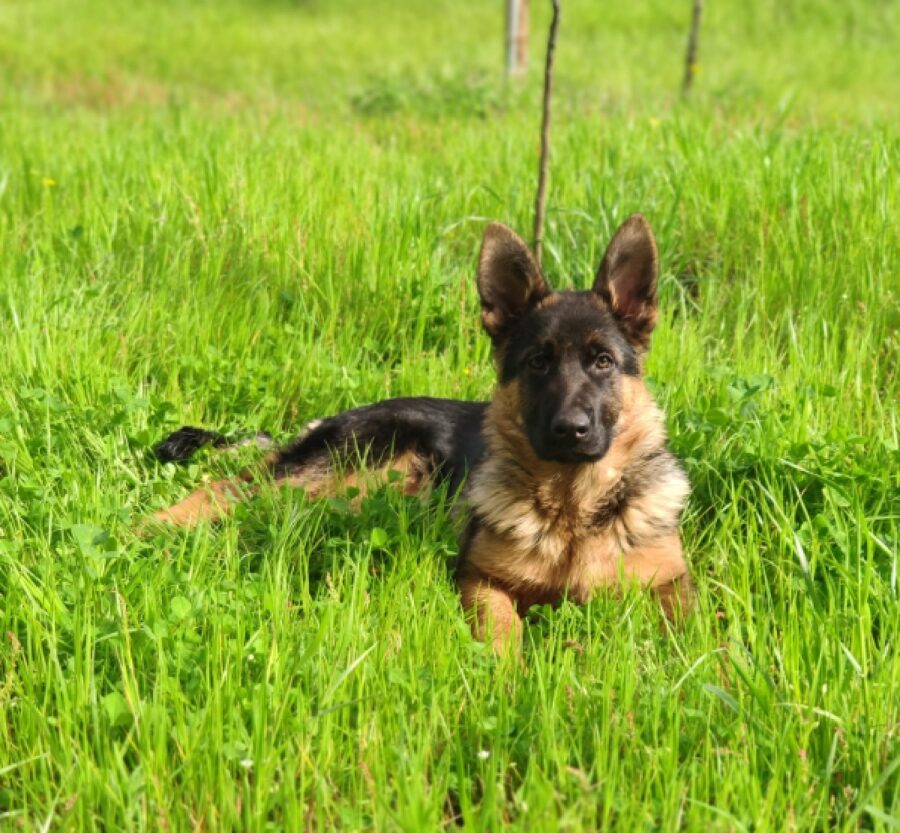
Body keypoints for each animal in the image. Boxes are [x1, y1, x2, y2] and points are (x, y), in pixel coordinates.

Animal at [155, 214, 692, 648]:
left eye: (603, 362)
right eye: (538, 363)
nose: (570, 431)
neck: (573, 511)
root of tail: (331, 418)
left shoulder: (673, 584)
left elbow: (692, 632)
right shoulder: (481, 579)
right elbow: (503, 630)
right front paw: (506, 682)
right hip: (346, 470)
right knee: (227, 487)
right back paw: (156, 525)